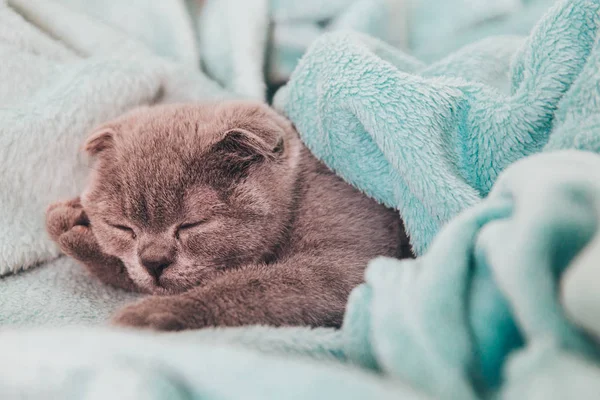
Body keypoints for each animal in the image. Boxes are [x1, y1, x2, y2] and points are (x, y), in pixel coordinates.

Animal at [45, 101, 412, 330]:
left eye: (193, 224)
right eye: (123, 227)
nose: (154, 262)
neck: (299, 196)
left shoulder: (346, 261)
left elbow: (253, 285)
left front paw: (152, 314)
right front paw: (70, 225)